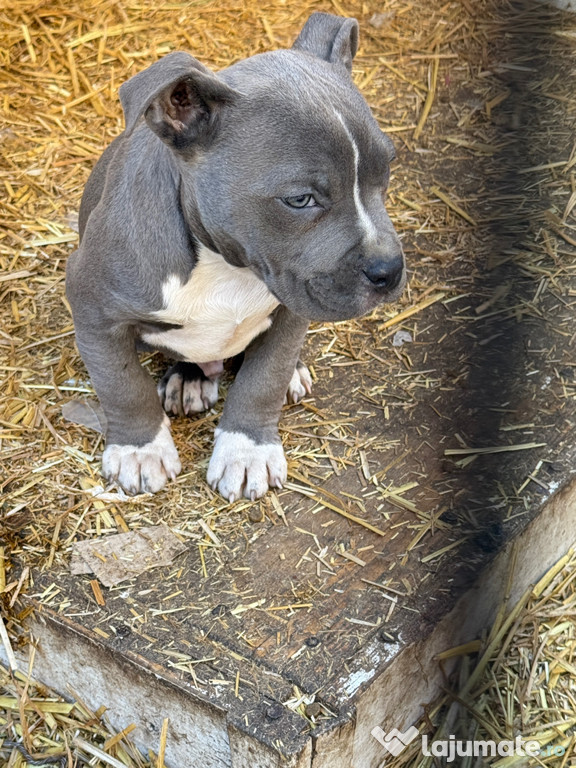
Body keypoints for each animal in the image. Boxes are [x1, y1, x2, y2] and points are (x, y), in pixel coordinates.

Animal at [66, 13, 404, 504]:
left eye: (388, 171)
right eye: (300, 200)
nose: (389, 270)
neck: (227, 266)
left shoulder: (292, 306)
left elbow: (263, 379)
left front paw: (246, 451)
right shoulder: (93, 310)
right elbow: (122, 385)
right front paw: (139, 449)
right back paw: (188, 377)